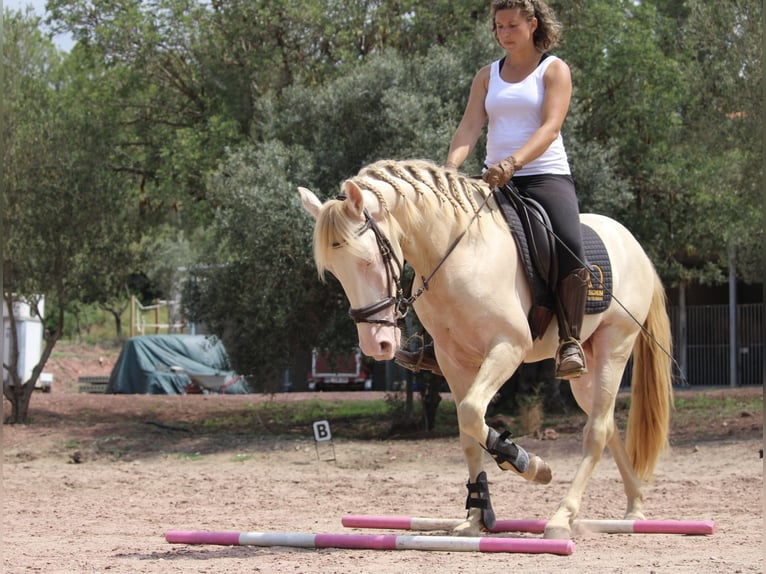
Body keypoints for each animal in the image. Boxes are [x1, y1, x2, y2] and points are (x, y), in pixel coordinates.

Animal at [298, 158, 672, 540]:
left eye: (368, 260)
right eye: (335, 271)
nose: (378, 344)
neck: (459, 253)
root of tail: (634, 245)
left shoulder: (508, 347)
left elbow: (472, 412)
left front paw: (526, 462)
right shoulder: (452, 359)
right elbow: (468, 429)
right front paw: (478, 514)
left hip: (615, 345)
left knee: (596, 431)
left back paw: (562, 516)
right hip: (587, 368)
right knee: (607, 423)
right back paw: (634, 506)